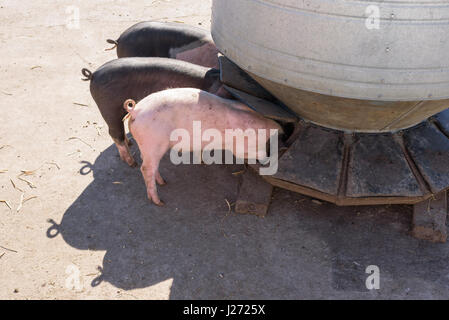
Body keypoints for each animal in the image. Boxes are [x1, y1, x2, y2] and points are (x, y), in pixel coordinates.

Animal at [124, 88, 282, 205]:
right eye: (263, 142)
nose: (268, 157)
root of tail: (135, 110)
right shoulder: (239, 147)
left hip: (147, 145)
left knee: (148, 164)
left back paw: (163, 182)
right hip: (154, 143)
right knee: (145, 169)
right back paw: (159, 202)